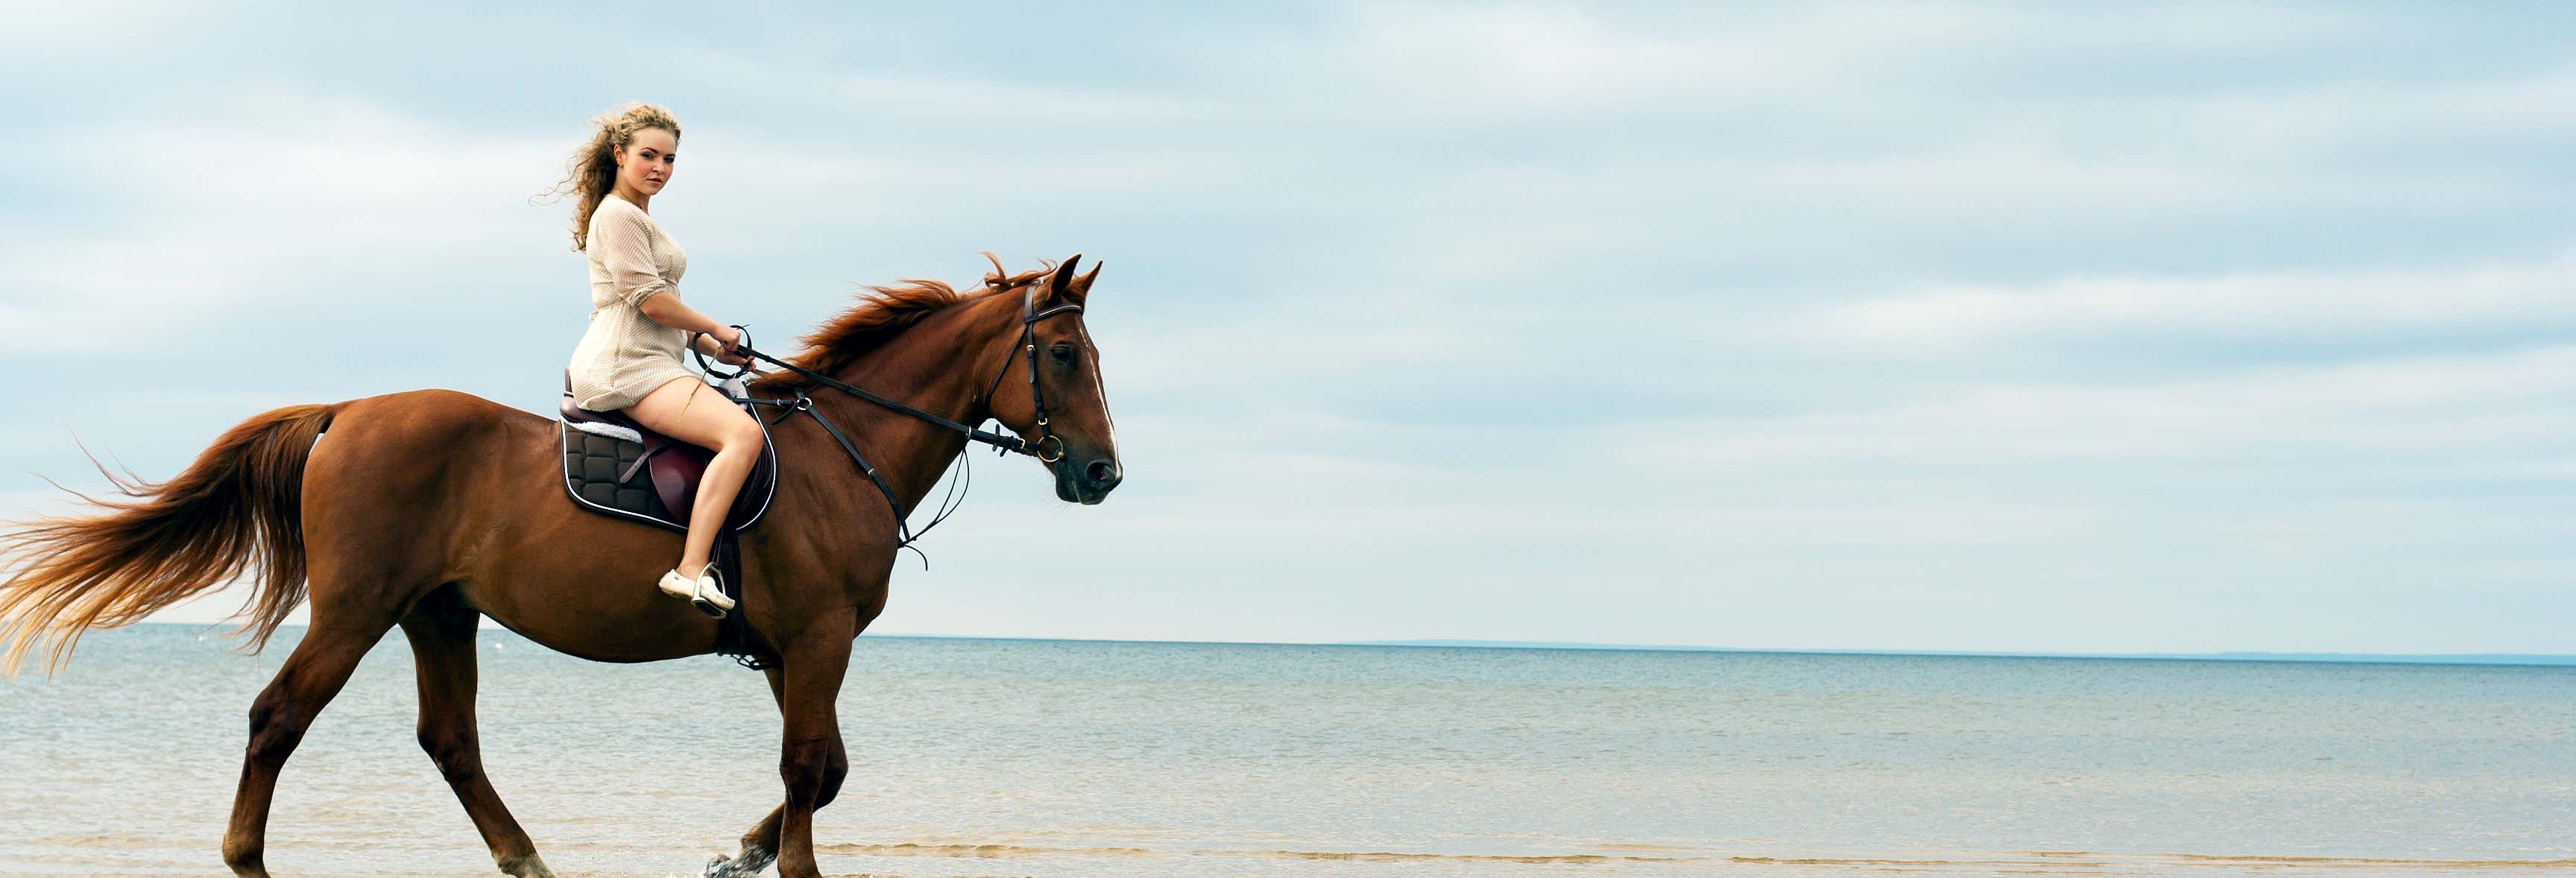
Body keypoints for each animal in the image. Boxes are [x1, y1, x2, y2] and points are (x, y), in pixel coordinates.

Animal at [2, 255, 1128, 875]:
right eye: (1063, 355)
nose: (1103, 472)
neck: (841, 448)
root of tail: (348, 411)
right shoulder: (816, 642)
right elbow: (811, 767)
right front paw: (786, 860)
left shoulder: (787, 649)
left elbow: (829, 769)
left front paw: (742, 850)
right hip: (356, 611)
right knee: (279, 716)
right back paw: (250, 859)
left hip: (439, 612)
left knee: (451, 739)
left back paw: (527, 856)